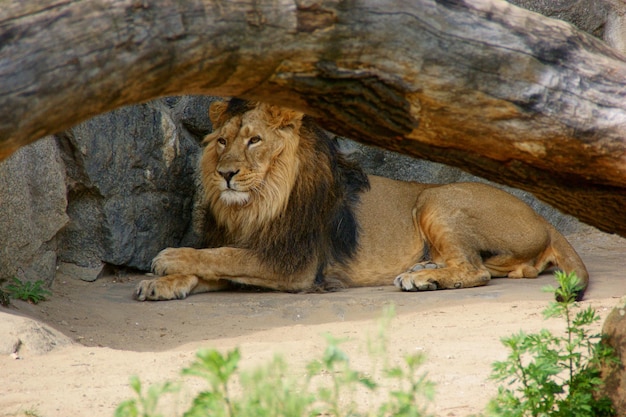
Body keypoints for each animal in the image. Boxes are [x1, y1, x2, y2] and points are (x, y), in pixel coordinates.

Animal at [134, 99, 588, 300]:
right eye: (222, 142)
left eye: (254, 140)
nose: (225, 174)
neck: (257, 204)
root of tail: (546, 220)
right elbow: (214, 261)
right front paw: (162, 283)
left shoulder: (293, 265)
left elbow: (221, 256)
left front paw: (169, 258)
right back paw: (425, 267)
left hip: (435, 200)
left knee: (476, 270)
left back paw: (421, 278)